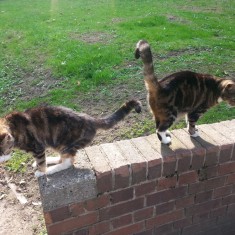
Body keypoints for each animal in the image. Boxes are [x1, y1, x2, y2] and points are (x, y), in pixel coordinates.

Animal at [0, 99, 141, 176]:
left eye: (2, 152)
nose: (1, 160)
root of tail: (89, 119)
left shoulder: (37, 147)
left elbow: (41, 162)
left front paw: (42, 172)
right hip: (58, 143)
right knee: (62, 159)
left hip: (66, 144)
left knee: (67, 162)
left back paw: (51, 170)